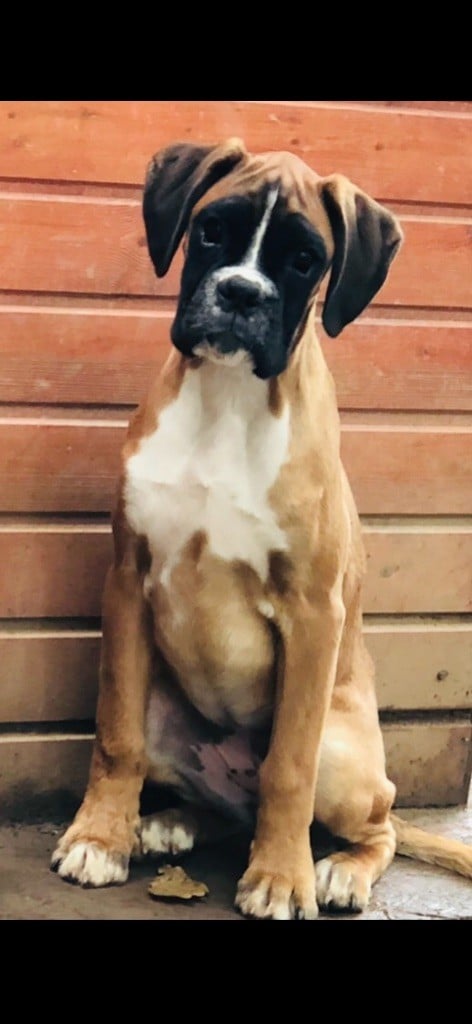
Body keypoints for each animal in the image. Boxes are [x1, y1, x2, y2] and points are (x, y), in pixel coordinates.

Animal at [51, 138, 472, 918]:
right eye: (212, 229)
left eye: (304, 259)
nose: (242, 294)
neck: (228, 397)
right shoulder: (127, 578)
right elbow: (114, 734)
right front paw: (99, 838)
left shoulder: (312, 615)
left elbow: (287, 769)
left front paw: (281, 878)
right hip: (166, 710)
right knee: (218, 803)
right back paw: (169, 823)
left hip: (346, 755)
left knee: (377, 821)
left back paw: (337, 870)